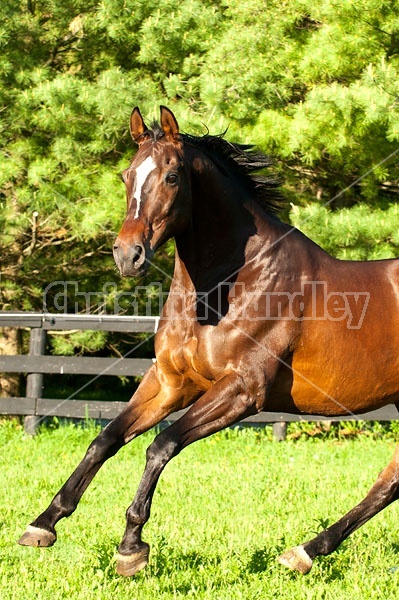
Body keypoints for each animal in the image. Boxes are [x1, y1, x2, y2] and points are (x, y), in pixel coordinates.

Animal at [19, 105, 399, 576]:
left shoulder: (242, 391)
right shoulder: (171, 383)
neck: (232, 283)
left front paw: (131, 547)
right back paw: (304, 552)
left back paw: (304, 552)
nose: (128, 256)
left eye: (171, 176)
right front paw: (43, 525)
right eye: (126, 175)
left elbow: (160, 445)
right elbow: (104, 441)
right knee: (389, 483)